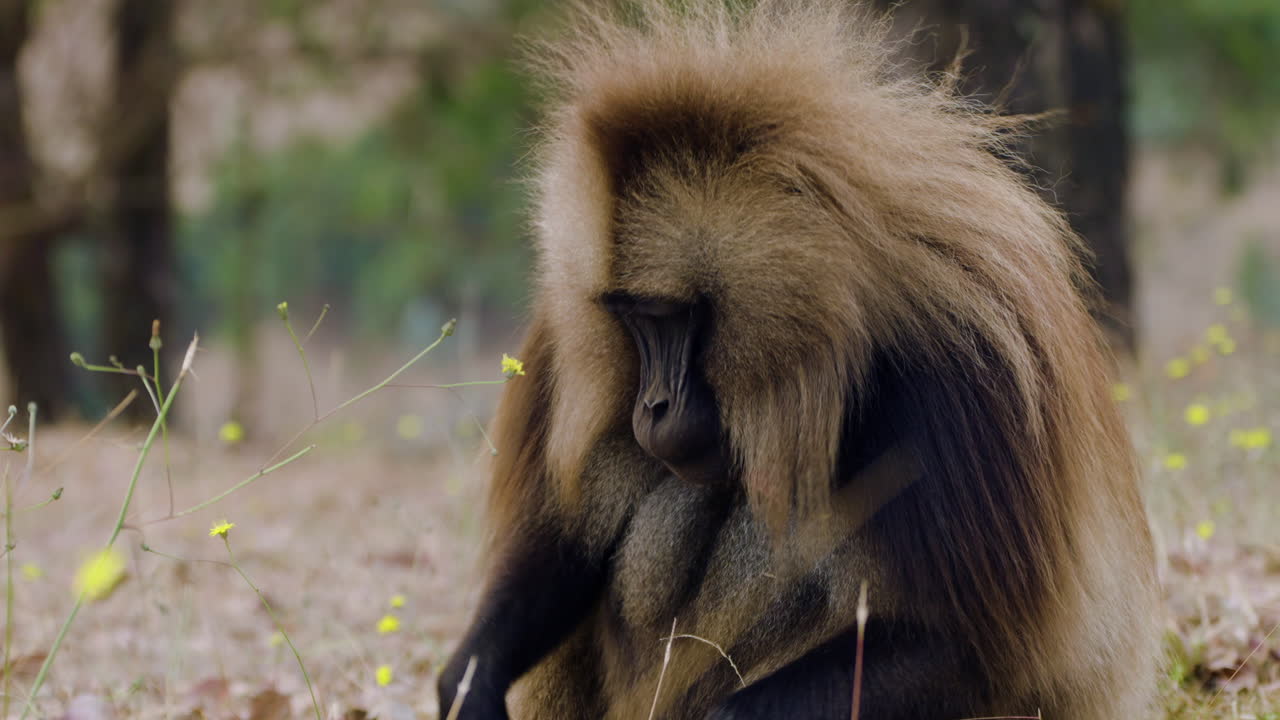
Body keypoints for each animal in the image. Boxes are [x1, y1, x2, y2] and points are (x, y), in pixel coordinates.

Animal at [438, 1, 1160, 718]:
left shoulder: (959, 374)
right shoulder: (561, 340)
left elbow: (965, 648)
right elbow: (567, 544)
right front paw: (471, 680)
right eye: (629, 318)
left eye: (670, 317)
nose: (652, 405)